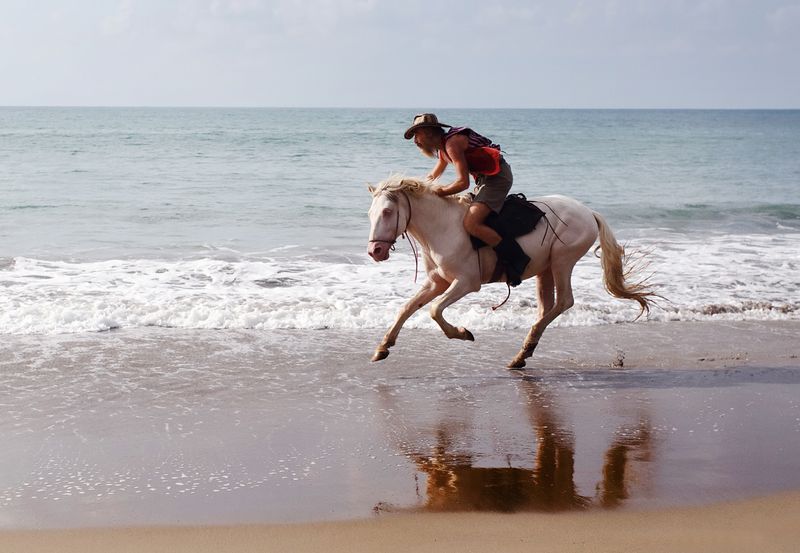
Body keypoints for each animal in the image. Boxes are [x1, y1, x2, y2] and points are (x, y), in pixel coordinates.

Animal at [366, 175, 660, 368]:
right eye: (370, 213)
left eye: (388, 211)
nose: (375, 251)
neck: (443, 227)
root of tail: (588, 212)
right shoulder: (437, 282)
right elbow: (407, 308)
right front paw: (383, 347)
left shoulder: (466, 282)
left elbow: (434, 310)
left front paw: (462, 333)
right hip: (546, 269)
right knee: (547, 306)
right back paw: (522, 354)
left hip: (562, 261)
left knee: (564, 301)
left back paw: (525, 348)